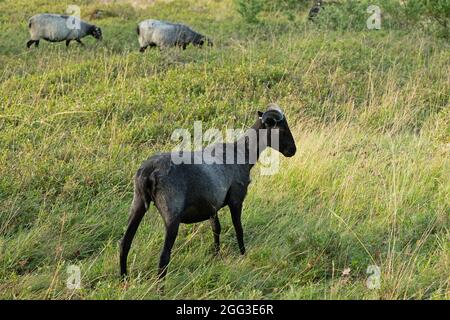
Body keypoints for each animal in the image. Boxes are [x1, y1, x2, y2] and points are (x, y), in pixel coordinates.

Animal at [119, 104, 298, 282]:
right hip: (172, 213)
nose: (293, 150)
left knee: (124, 243)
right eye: (281, 129)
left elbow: (216, 228)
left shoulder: (211, 205)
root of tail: (150, 172)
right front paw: (243, 255)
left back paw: (123, 279)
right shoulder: (236, 199)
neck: (243, 153)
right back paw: (159, 286)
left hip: (137, 203)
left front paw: (216, 256)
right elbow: (238, 228)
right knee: (164, 256)